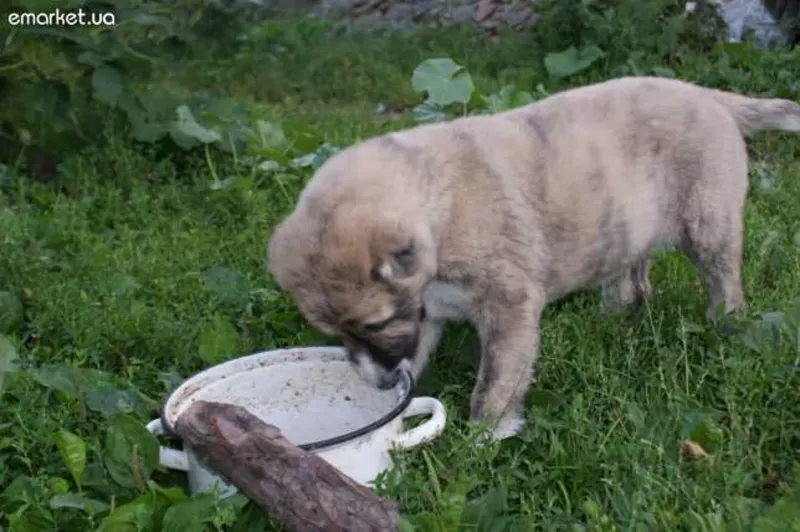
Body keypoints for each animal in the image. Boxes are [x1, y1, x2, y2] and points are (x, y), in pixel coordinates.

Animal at [264, 75, 800, 440]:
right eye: (334, 332)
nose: (376, 384)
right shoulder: (426, 311)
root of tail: (708, 95)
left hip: (709, 224)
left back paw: (724, 328)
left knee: (724, 281)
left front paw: (483, 439)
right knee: (632, 281)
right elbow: (416, 354)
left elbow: (495, 383)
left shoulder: (509, 306)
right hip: (629, 227)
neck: (439, 202)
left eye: (373, 324)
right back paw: (612, 320)